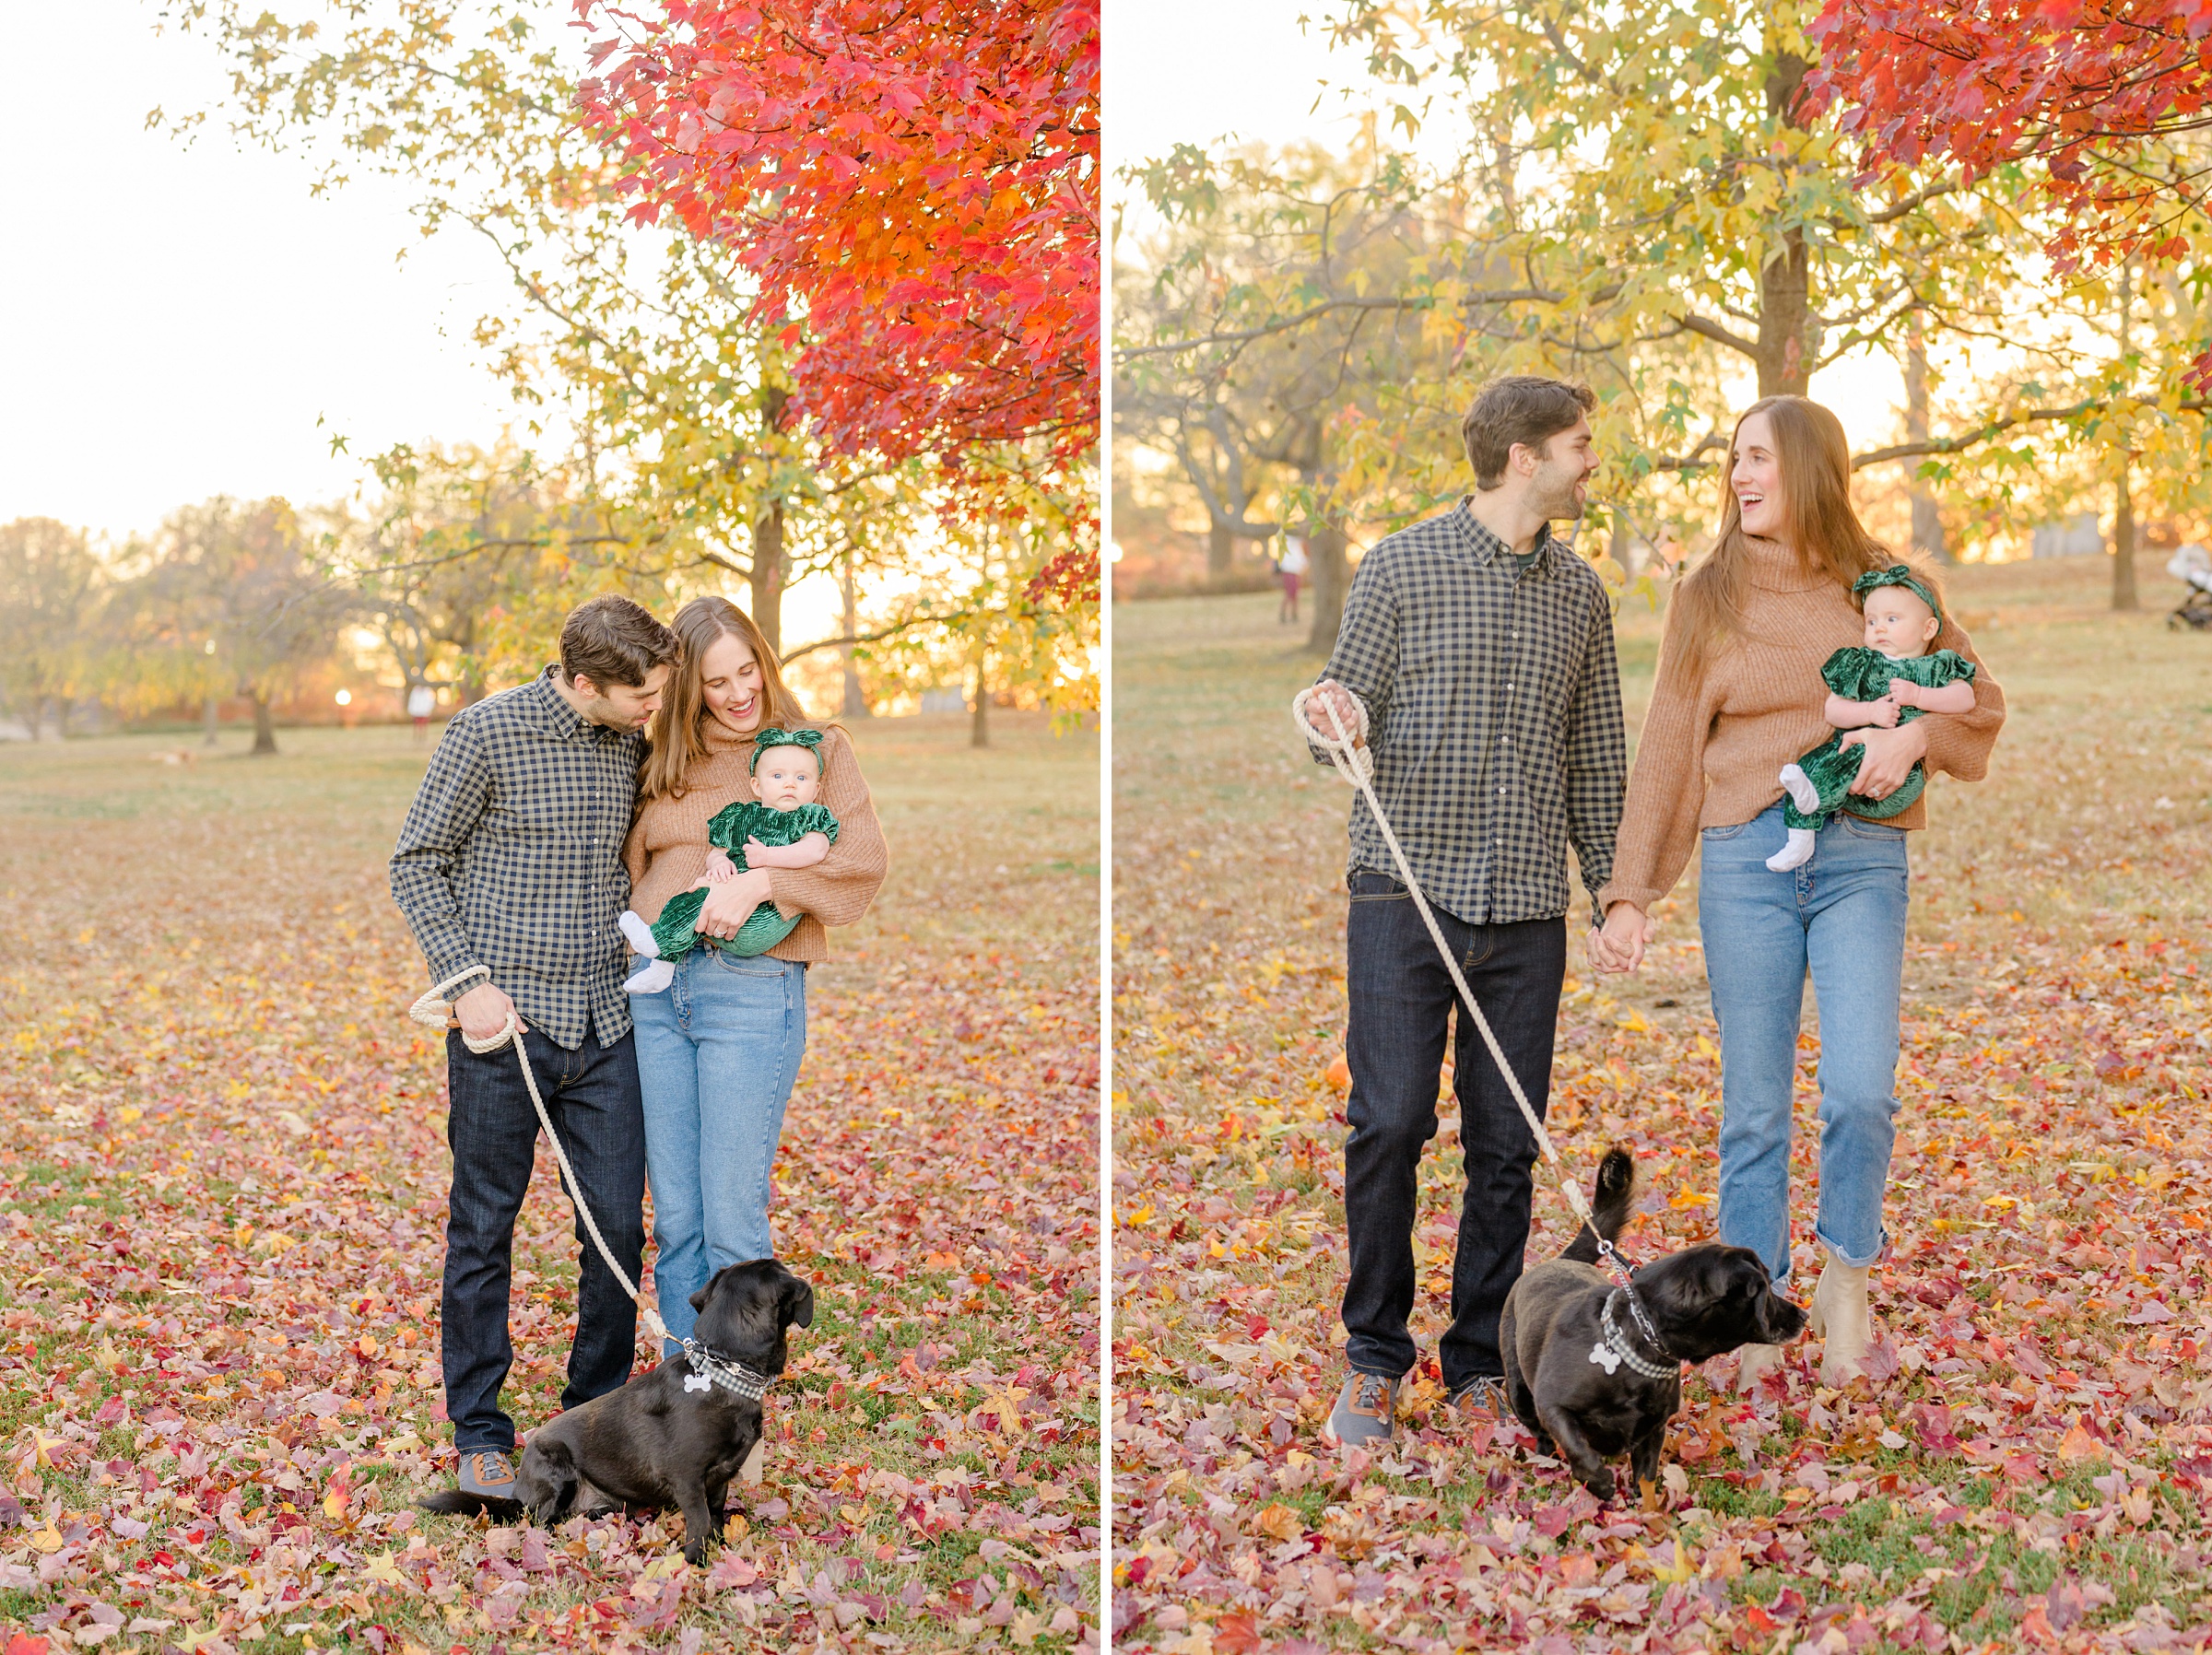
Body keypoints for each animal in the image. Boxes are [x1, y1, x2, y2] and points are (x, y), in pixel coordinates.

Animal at [420, 1256, 814, 1557]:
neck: (723, 1371)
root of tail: (520, 1494)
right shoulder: (686, 1478)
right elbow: (700, 1522)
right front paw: (694, 1563)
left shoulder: (719, 1478)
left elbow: (715, 1515)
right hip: (556, 1471)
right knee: (540, 1520)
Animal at [1495, 1150, 1805, 1496]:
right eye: (1764, 1290)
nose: (1803, 1315)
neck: (1636, 1341)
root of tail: (1561, 1260)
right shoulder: (1553, 1406)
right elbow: (1578, 1449)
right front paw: (1600, 1483)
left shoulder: (1653, 1427)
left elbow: (1646, 1477)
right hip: (1520, 1392)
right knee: (1541, 1433)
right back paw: (1544, 1459)